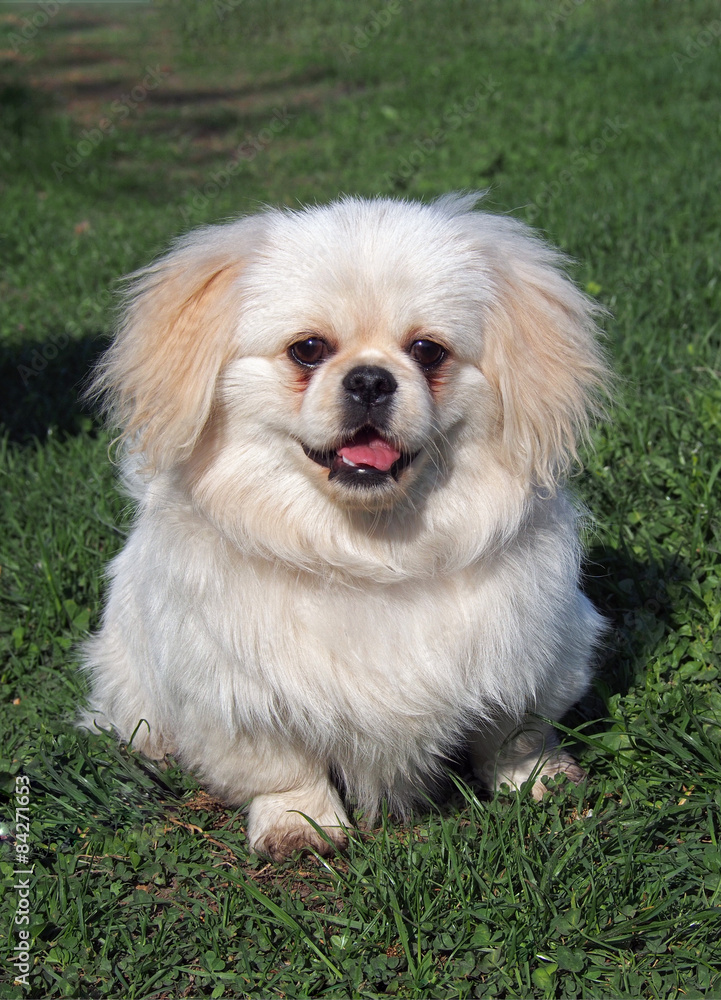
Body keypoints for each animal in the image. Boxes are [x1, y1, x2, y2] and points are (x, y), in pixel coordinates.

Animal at [80, 193, 608, 860]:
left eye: (427, 351)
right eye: (308, 350)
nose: (370, 378)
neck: (370, 550)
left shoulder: (536, 649)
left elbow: (515, 731)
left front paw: (535, 779)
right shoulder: (236, 693)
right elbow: (282, 768)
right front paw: (299, 825)